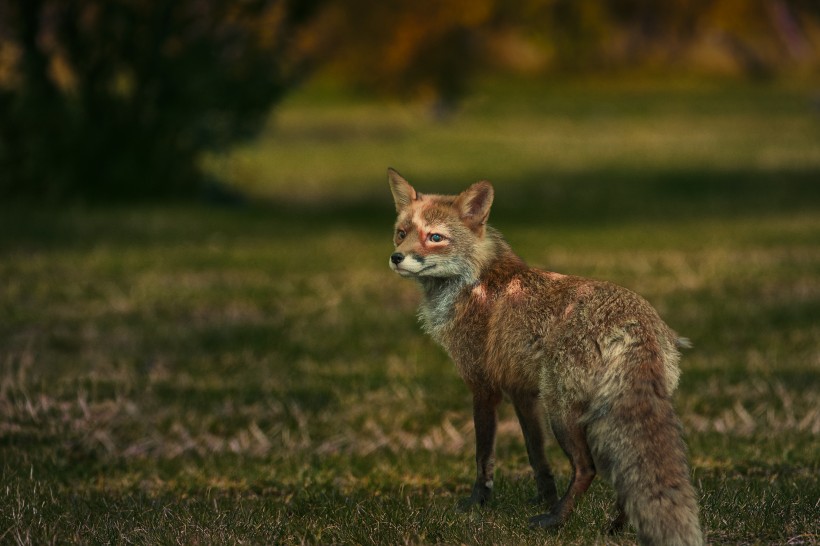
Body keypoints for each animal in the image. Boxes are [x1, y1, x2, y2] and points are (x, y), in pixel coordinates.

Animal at [388, 168, 700, 540]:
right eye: (401, 233)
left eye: (435, 237)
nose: (396, 258)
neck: (473, 281)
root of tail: (636, 320)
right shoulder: (522, 392)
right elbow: (537, 456)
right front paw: (543, 496)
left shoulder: (483, 386)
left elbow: (483, 457)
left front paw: (477, 504)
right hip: (605, 411)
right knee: (627, 469)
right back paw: (614, 527)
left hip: (562, 410)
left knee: (587, 468)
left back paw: (556, 520)